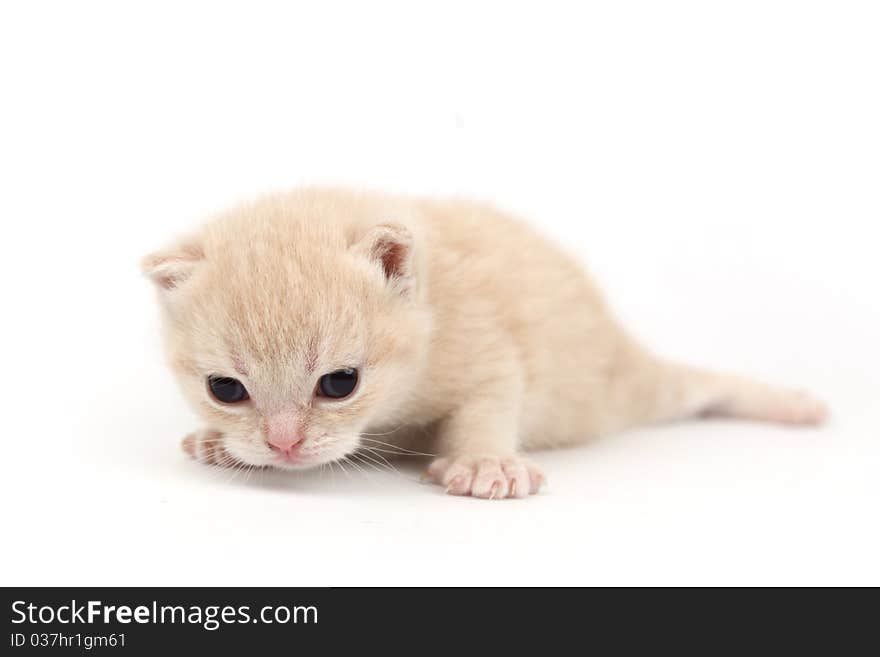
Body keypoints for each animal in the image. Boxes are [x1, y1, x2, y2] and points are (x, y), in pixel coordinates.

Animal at [143, 187, 824, 500]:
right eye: (225, 389)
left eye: (340, 383)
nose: (283, 446)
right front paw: (220, 441)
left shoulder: (487, 347)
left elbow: (490, 402)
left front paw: (484, 462)